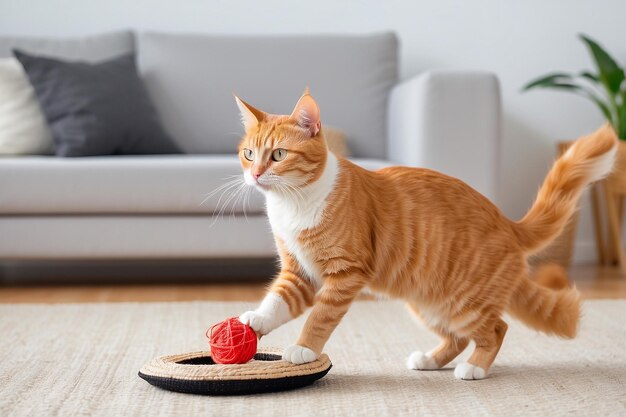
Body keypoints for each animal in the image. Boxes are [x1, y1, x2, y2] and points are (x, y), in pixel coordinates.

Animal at [236, 89, 616, 378]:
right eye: (249, 154)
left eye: (279, 154)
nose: (254, 175)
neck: (293, 206)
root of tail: (507, 221)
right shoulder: (298, 271)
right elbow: (278, 300)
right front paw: (257, 320)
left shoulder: (345, 273)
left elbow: (320, 316)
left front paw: (303, 347)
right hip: (429, 303)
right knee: (460, 338)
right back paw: (430, 360)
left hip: (465, 302)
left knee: (496, 330)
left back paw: (475, 369)